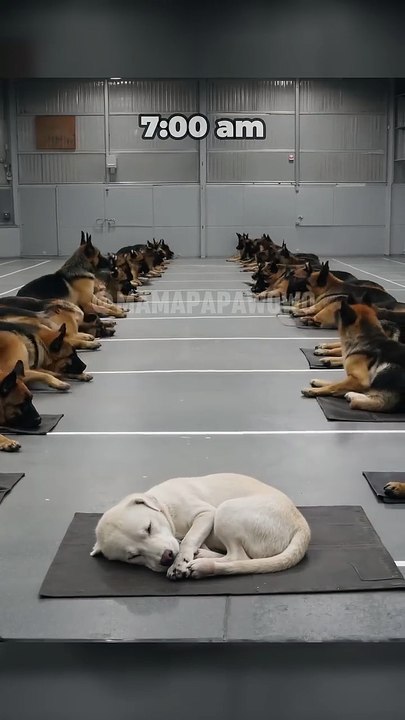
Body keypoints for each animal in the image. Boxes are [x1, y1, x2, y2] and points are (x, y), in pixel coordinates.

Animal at [90, 473, 310, 580]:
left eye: (149, 527)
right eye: (133, 556)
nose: (166, 558)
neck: (165, 504)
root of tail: (302, 527)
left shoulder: (206, 514)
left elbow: (189, 539)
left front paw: (180, 563)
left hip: (225, 511)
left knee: (238, 557)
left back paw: (201, 563)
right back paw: (202, 557)